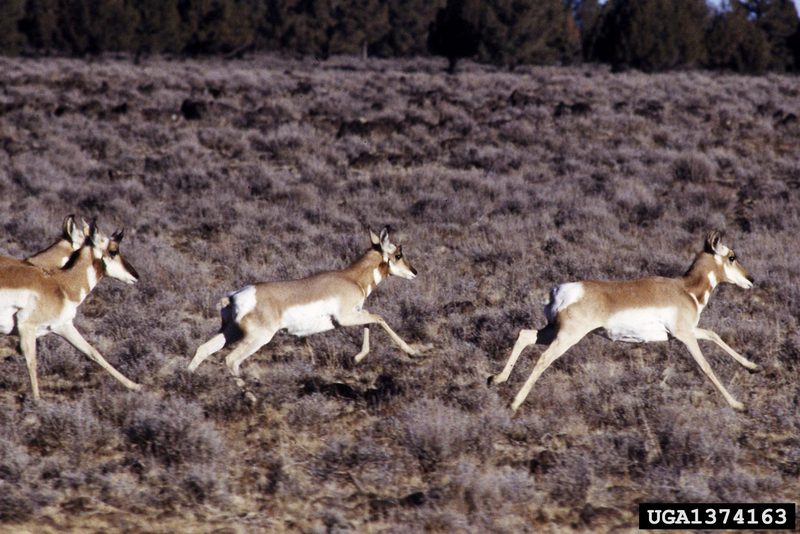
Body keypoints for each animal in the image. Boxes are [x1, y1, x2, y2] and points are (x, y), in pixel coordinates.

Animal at [0, 220, 141, 400]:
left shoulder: (64, 326)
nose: (136, 276)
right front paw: (37, 401)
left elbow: (93, 352)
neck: (61, 285)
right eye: (113, 251)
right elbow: (32, 363)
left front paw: (135, 385)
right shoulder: (27, 328)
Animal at [188, 228, 418, 378]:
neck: (351, 278)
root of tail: (234, 296)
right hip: (257, 339)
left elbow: (370, 321)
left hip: (230, 332)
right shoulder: (346, 318)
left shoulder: (355, 314)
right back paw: (251, 398)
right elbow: (378, 318)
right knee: (231, 360)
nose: (415, 272)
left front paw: (357, 358)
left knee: (203, 349)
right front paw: (412, 352)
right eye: (398, 254)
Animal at [490, 232, 760, 412]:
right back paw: (514, 402)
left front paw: (753, 367)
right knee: (543, 359)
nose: (751, 279)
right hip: (566, 337)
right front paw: (737, 404)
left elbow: (714, 334)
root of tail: (561, 290)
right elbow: (706, 366)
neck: (686, 290)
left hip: (550, 331)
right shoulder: (685, 335)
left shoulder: (686, 333)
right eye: (732, 256)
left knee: (524, 335)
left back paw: (495, 379)